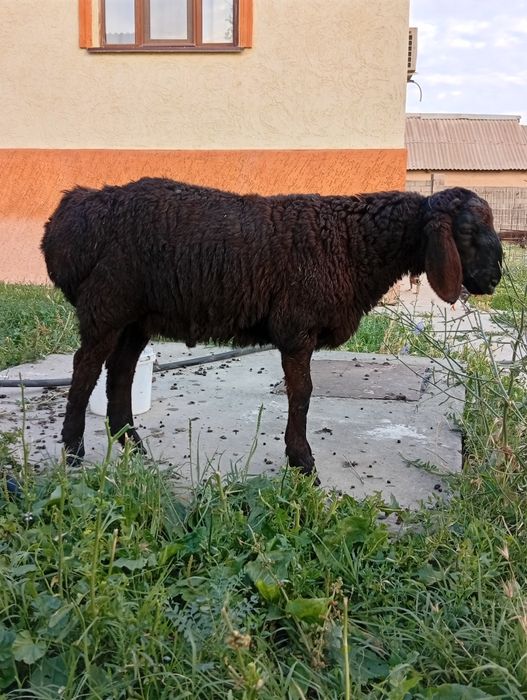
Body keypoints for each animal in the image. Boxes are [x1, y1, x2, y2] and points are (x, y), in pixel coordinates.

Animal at [41, 180, 502, 475]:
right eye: (465, 230)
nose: (495, 278)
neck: (351, 241)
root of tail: (70, 214)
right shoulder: (297, 327)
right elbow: (302, 394)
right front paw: (302, 462)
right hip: (107, 305)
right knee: (84, 370)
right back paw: (74, 450)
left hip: (136, 317)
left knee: (119, 373)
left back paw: (133, 445)